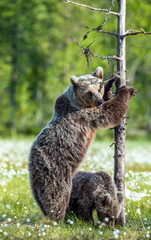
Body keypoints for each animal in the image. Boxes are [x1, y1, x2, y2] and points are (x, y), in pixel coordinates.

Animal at [28, 66, 137, 221]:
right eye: (89, 92)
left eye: (99, 87)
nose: (99, 101)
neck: (78, 103)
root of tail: (31, 163)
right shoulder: (84, 116)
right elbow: (110, 113)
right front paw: (128, 90)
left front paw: (112, 83)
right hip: (55, 169)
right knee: (57, 194)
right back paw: (57, 218)